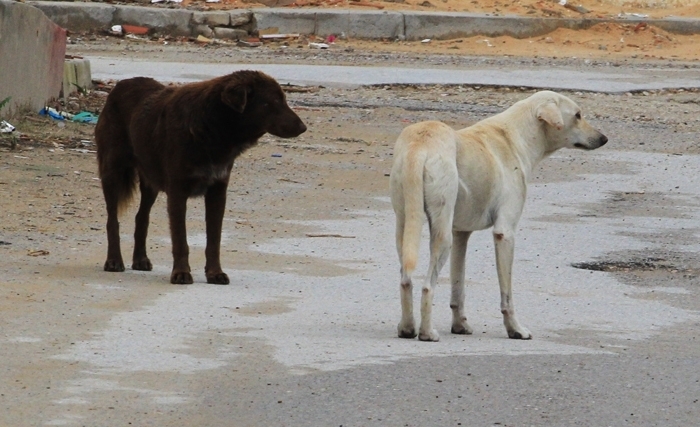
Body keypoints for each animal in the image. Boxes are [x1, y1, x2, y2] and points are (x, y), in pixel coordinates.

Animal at [95, 71, 306, 284]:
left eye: (283, 100)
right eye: (273, 102)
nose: (303, 127)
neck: (212, 125)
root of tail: (120, 84)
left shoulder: (217, 192)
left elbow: (214, 241)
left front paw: (214, 273)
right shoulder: (177, 192)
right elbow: (181, 240)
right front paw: (181, 273)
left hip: (150, 183)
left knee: (141, 217)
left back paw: (140, 259)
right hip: (112, 173)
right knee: (112, 220)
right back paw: (114, 260)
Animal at [388, 89, 608, 342]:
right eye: (578, 115)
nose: (604, 138)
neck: (516, 136)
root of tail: (421, 142)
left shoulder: (461, 234)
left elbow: (458, 288)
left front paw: (460, 325)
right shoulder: (505, 233)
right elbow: (507, 296)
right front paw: (515, 329)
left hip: (406, 228)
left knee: (406, 280)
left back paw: (407, 328)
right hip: (442, 237)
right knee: (427, 286)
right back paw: (426, 332)